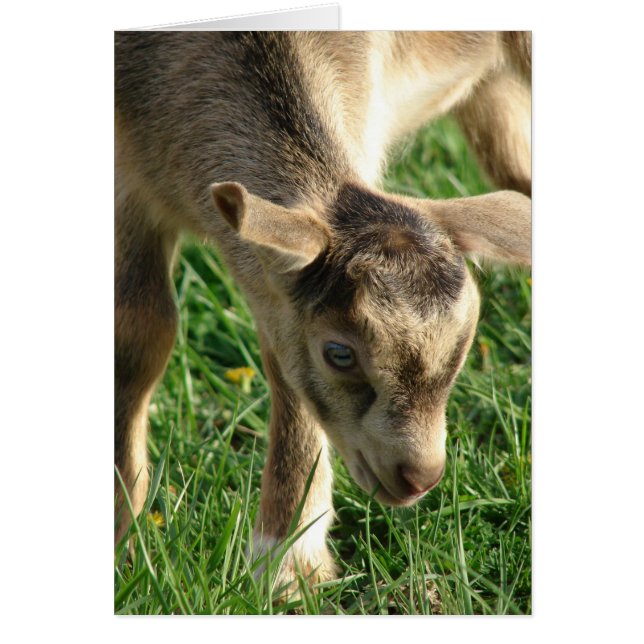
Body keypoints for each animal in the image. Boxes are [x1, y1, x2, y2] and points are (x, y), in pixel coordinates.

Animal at [114, 31, 531, 594]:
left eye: (463, 344)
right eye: (339, 352)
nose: (418, 476)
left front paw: (287, 563)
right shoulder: (128, 176)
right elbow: (139, 336)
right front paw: (122, 539)